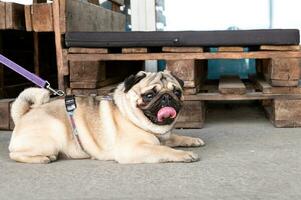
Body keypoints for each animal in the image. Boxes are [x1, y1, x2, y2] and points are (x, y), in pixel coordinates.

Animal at [8, 70, 204, 164]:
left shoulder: (165, 137)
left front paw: (192, 141)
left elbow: (176, 137)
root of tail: (24, 115)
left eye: (177, 92)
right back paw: (42, 158)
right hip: (52, 136)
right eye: (149, 95)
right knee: (14, 154)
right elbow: (163, 150)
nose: (166, 97)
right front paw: (184, 154)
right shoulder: (133, 149)